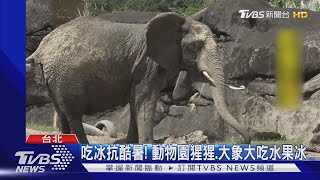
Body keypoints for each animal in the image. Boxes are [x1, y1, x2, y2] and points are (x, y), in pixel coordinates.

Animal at [26, 12, 252, 143]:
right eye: (196, 46)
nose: (244, 141)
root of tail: (42, 48)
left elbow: (135, 101)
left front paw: (129, 144)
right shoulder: (147, 64)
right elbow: (145, 99)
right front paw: (147, 145)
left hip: (53, 77)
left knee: (62, 111)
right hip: (65, 75)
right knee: (73, 114)